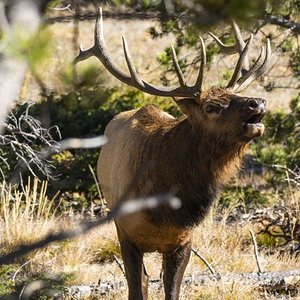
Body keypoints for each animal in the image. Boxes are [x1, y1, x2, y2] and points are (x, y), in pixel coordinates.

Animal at [75, 9, 272, 300]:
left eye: (234, 94)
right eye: (211, 107)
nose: (257, 102)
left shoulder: (183, 241)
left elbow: (172, 292)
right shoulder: (126, 234)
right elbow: (136, 288)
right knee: (143, 282)